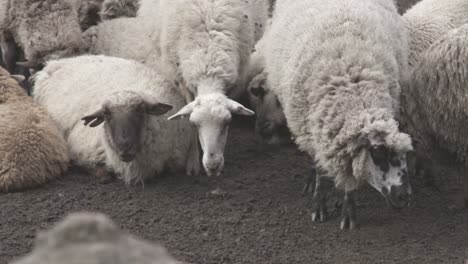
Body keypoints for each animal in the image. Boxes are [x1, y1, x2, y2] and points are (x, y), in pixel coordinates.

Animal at [32, 54, 201, 185]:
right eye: (106, 114)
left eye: (140, 110)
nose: (125, 147)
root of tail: (58, 61)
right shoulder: (82, 152)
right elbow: (102, 174)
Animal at [266, 0, 414, 229]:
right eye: (377, 152)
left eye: (405, 154)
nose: (405, 197)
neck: (353, 87)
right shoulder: (318, 129)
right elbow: (320, 170)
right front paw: (319, 205)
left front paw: (347, 209)